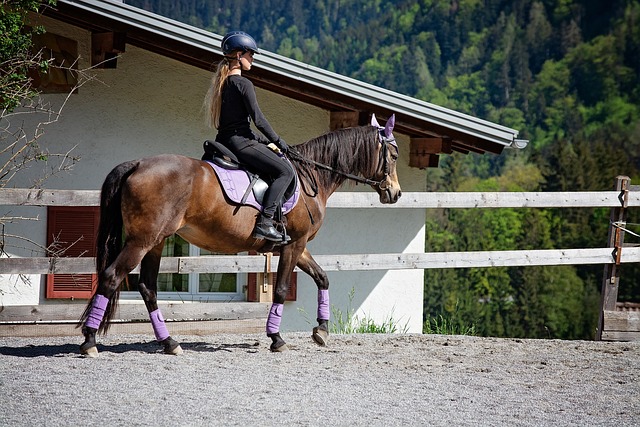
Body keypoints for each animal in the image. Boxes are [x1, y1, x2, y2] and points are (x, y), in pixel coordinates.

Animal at [79, 112, 400, 356]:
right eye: (394, 155)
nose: (395, 193)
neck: (312, 177)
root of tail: (137, 164)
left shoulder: (297, 245)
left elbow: (322, 277)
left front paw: (321, 330)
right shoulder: (294, 245)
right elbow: (281, 289)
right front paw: (276, 339)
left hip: (155, 242)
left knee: (148, 288)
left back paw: (169, 342)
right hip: (141, 241)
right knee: (111, 277)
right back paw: (90, 341)